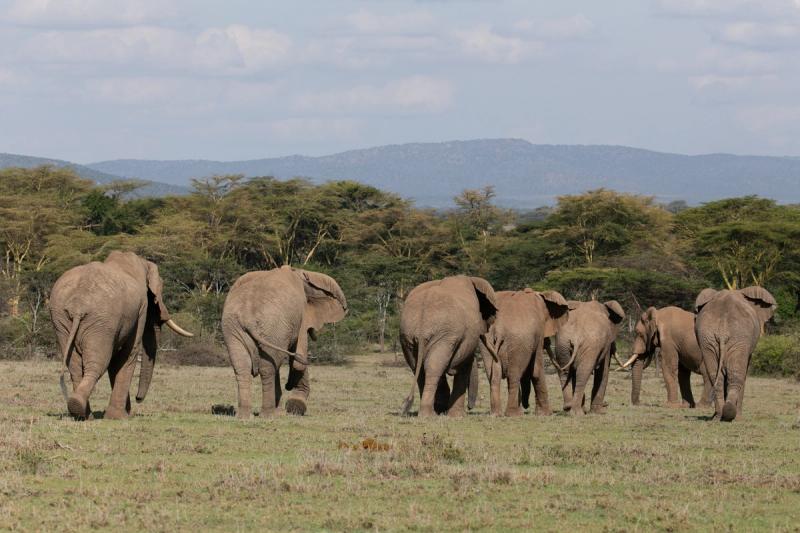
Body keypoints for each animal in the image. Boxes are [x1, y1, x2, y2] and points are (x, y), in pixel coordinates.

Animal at [49, 251, 193, 420]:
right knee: (98, 363)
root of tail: (78, 305)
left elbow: (115, 361)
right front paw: (120, 417)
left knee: (75, 366)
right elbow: (127, 353)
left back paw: (81, 414)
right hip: (101, 321)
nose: (138, 399)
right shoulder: (141, 309)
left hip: (62, 319)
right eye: (154, 297)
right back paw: (80, 408)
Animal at [221, 265, 347, 418]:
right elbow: (299, 361)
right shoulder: (302, 315)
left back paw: (244, 416)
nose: (288, 385)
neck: (298, 272)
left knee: (242, 366)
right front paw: (295, 406)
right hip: (273, 326)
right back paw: (268, 415)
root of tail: (247, 317)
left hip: (234, 327)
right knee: (268, 368)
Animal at [400, 275, 498, 417]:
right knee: (433, 367)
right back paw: (429, 415)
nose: (470, 408)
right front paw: (457, 416)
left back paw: (432, 412)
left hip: (408, 336)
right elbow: (465, 365)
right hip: (443, 335)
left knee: (420, 368)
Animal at [478, 288, 569, 416]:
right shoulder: (538, 332)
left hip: (487, 343)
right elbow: (536, 370)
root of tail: (499, 329)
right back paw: (514, 414)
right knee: (514, 375)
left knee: (493, 376)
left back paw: (496, 414)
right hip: (517, 343)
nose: (526, 405)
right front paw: (546, 414)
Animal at [694, 286, 776, 422]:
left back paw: (718, 416)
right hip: (739, 338)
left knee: (716, 377)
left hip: (707, 338)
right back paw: (732, 415)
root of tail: (722, 330)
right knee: (736, 375)